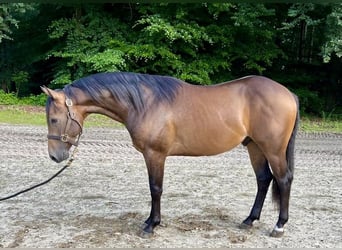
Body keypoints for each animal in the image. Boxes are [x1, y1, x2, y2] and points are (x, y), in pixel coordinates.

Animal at [41, 71, 300, 237]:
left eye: (53, 119)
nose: (55, 156)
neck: (144, 103)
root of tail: (289, 94)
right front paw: (149, 221)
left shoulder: (155, 154)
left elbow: (155, 188)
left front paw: (151, 226)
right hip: (254, 146)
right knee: (264, 180)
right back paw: (249, 220)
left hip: (273, 149)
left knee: (283, 180)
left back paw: (279, 226)